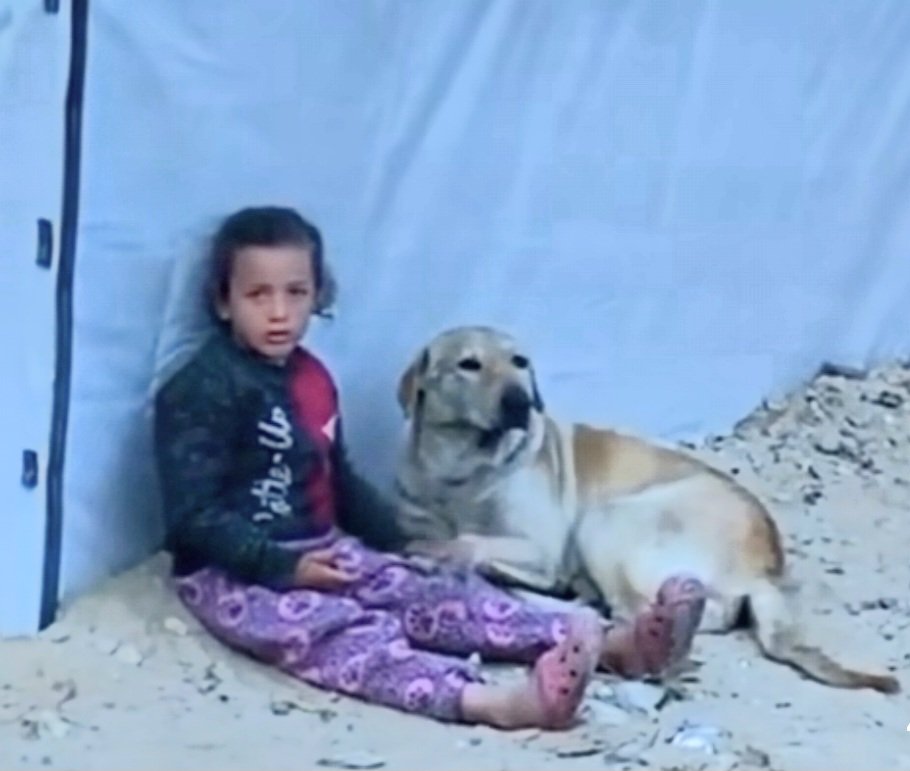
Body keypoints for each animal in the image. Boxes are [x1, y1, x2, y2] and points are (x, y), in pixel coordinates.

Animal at [396, 322, 900, 696]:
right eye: (469, 364)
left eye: (520, 362)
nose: (520, 400)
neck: (462, 471)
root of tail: (765, 569)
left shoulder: (543, 547)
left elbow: (467, 540)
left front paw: (442, 553)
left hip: (609, 519)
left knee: (627, 612)